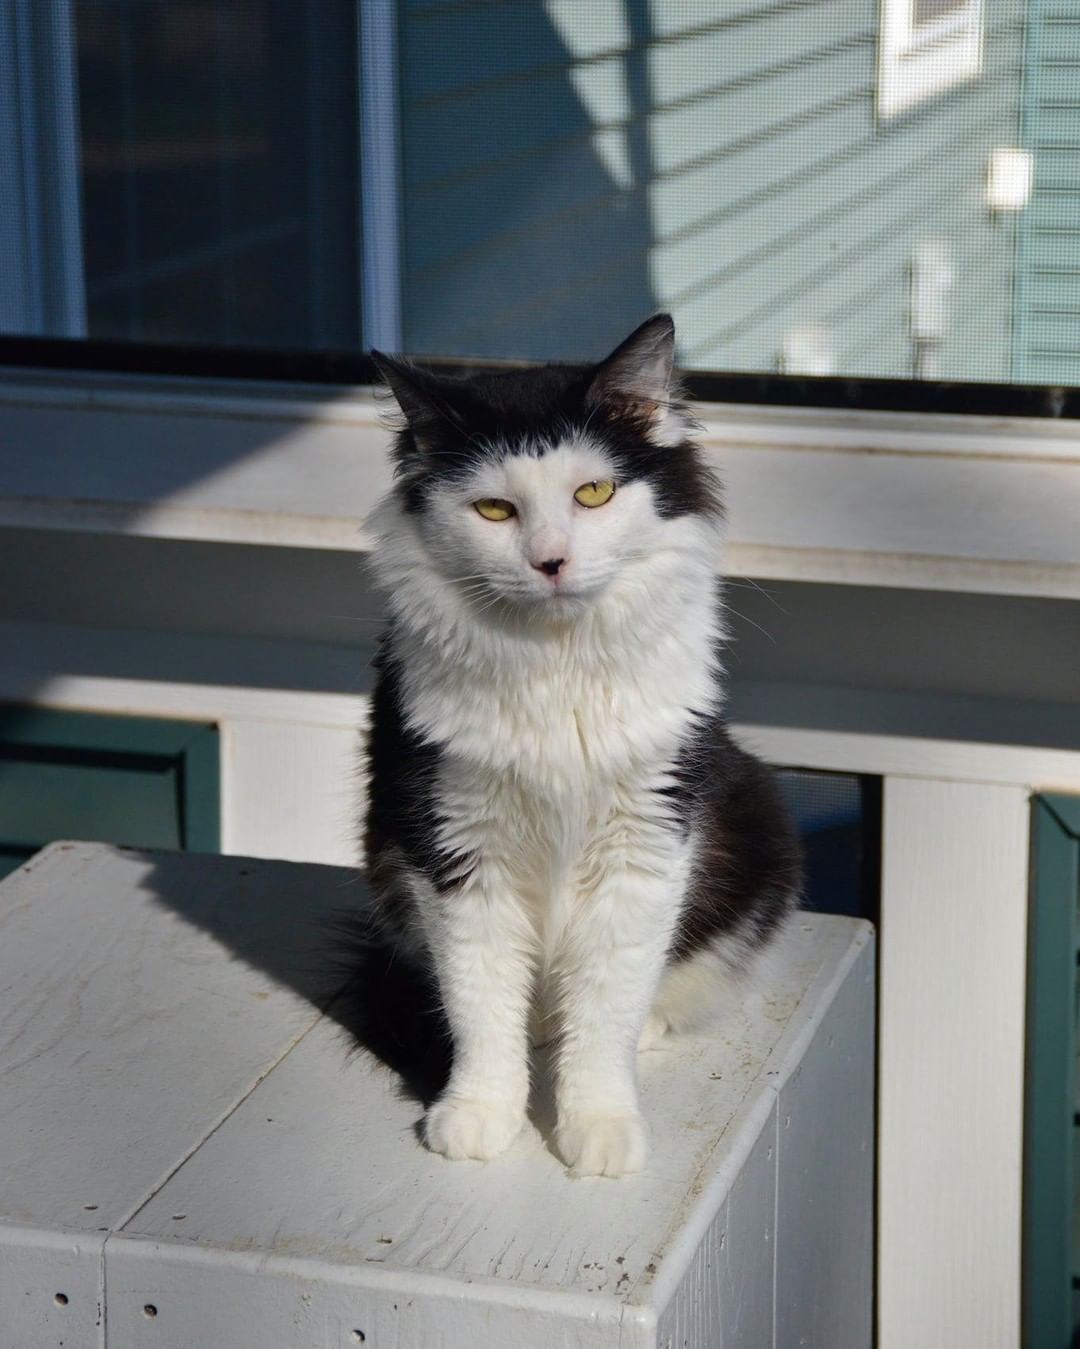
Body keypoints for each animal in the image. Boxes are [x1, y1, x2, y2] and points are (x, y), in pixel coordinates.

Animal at [361, 310, 798, 1176]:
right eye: (495, 510)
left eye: (592, 492)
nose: (551, 562)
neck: (556, 668)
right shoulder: (457, 848)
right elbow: (480, 1003)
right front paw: (479, 1115)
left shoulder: (646, 843)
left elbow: (605, 1012)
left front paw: (597, 1128)